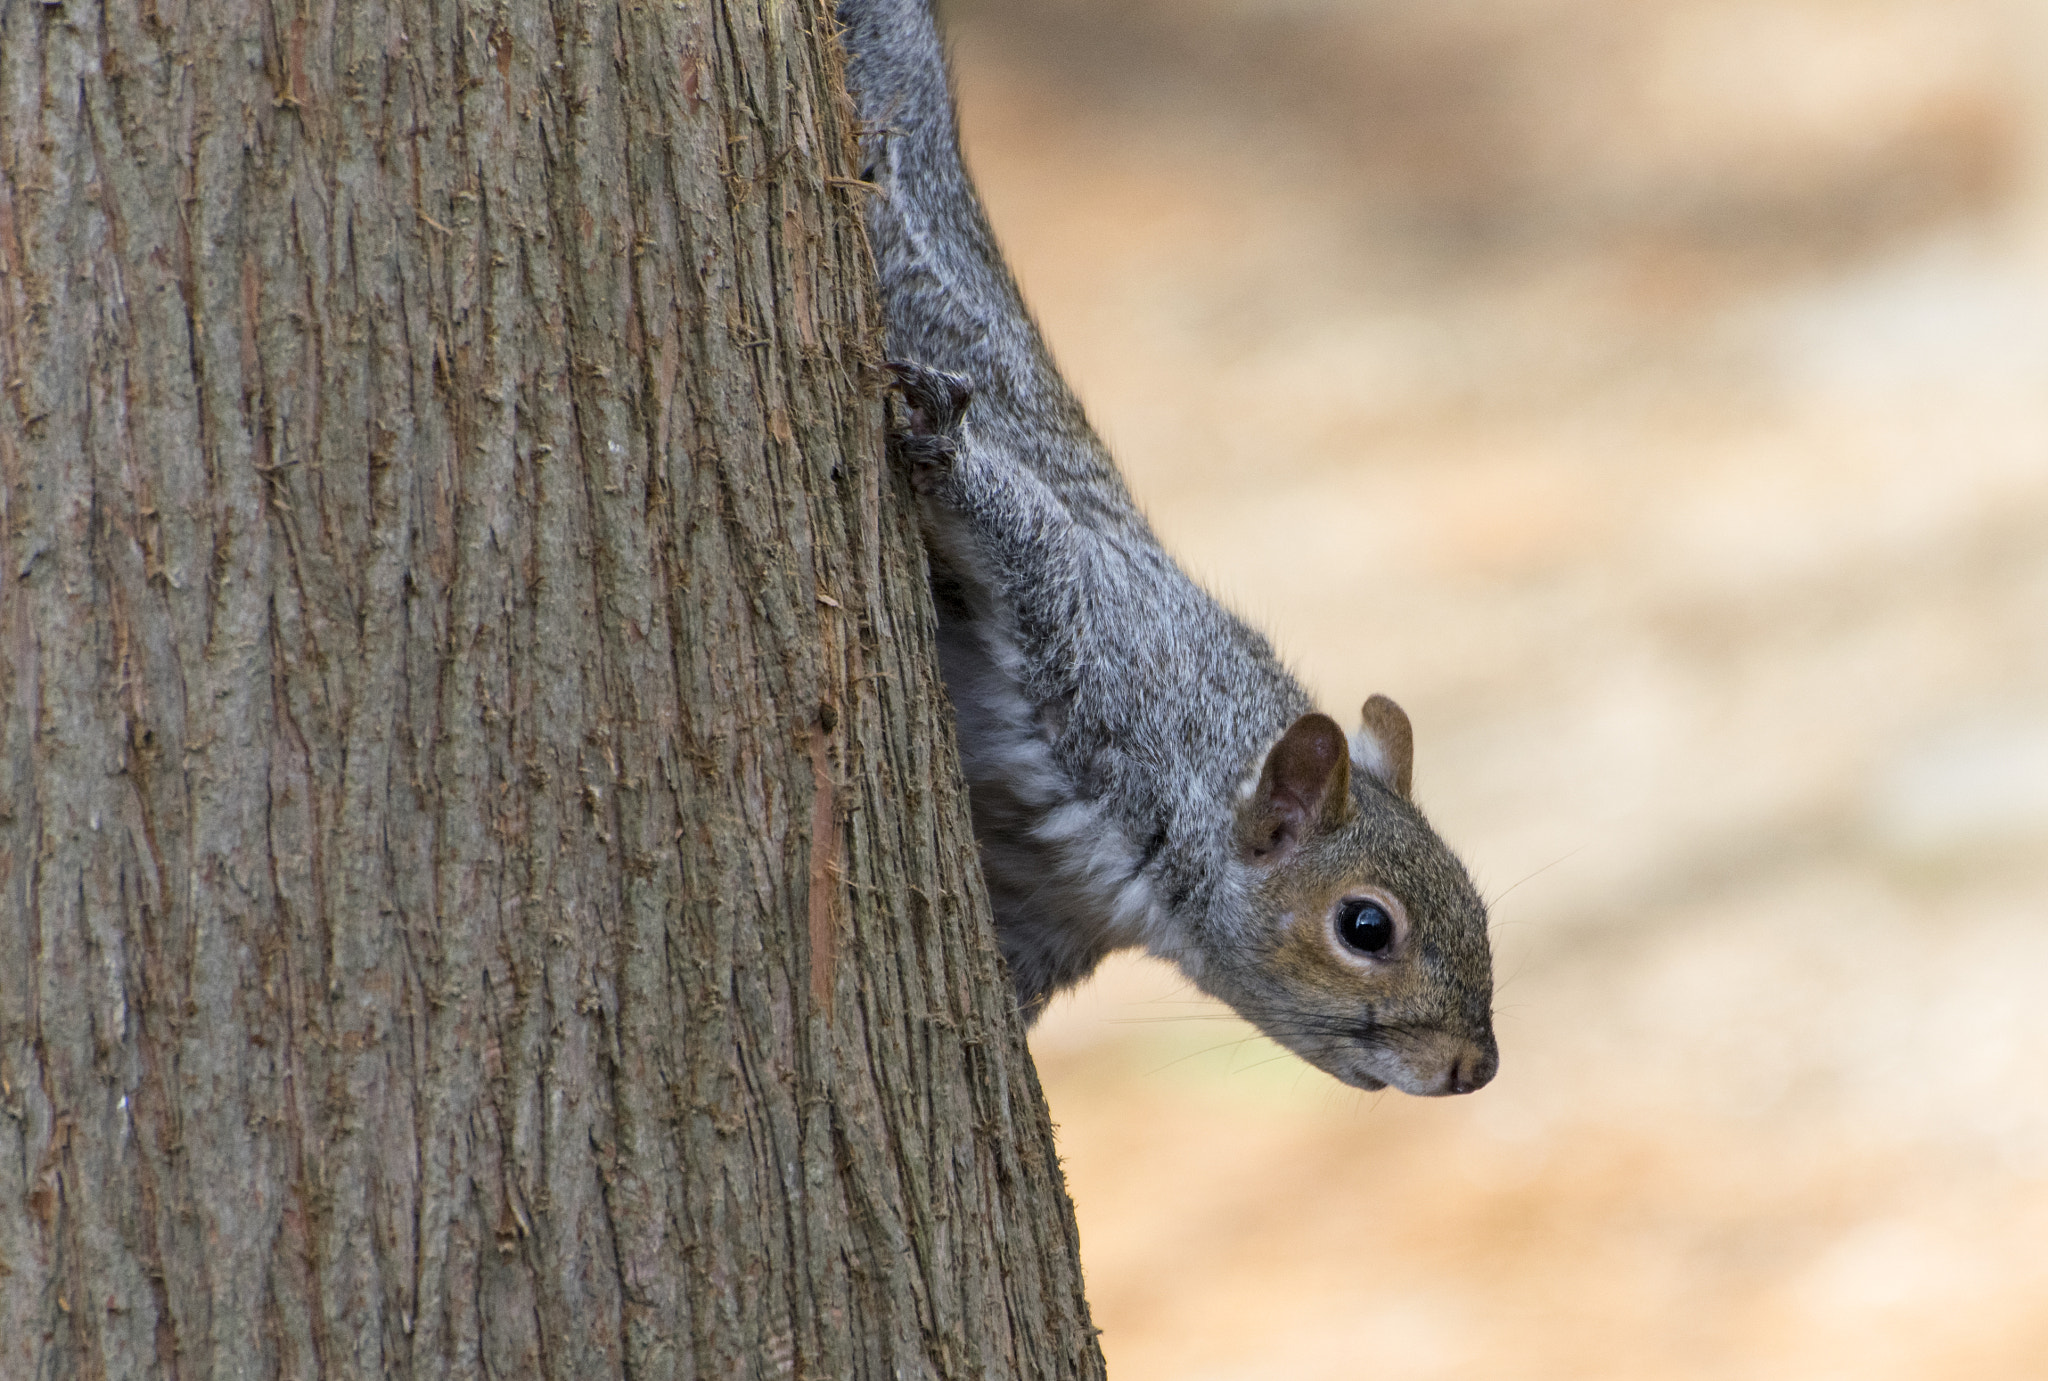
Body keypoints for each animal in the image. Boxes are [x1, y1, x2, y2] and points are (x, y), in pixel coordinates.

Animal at [839, 0, 1499, 1098]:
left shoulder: (1046, 910)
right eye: (1366, 926)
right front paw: (941, 439)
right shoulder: (1097, 641)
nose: (1473, 1068)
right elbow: (1027, 535)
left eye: (1480, 905)